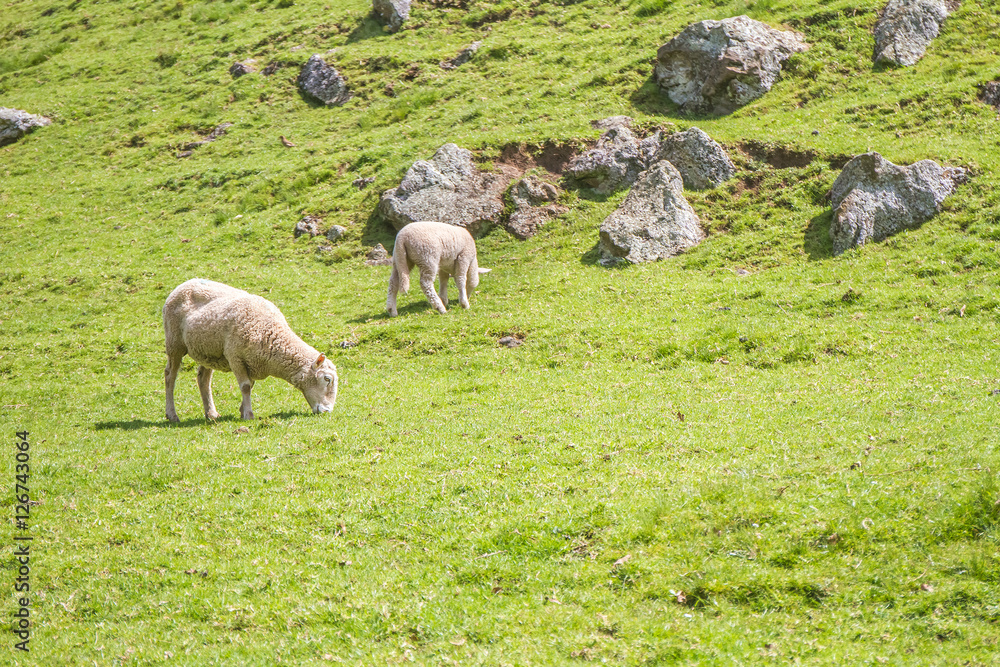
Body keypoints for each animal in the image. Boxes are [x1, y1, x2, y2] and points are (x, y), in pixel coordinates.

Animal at [163, 279, 338, 422]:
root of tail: (184, 284)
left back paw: (211, 414)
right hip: (174, 343)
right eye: (327, 379)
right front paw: (248, 415)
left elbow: (251, 385)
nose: (327, 411)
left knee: (203, 379)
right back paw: (172, 415)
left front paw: (242, 411)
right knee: (170, 376)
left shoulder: (251, 363)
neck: (271, 334)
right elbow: (246, 386)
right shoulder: (235, 357)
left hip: (207, 350)